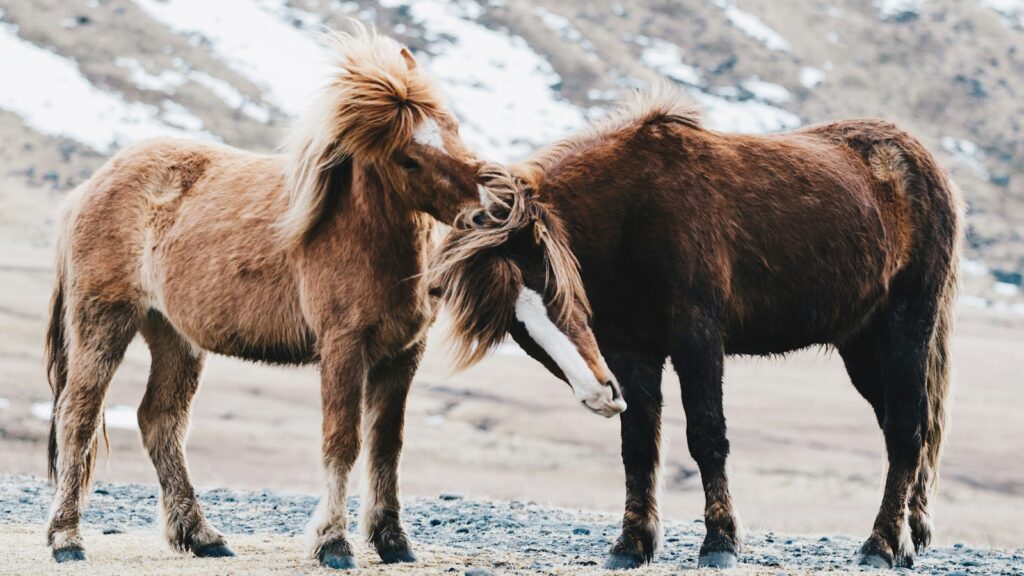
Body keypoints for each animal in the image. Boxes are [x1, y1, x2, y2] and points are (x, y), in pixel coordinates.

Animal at [44, 25, 502, 569]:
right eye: (408, 158)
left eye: (452, 127)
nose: (492, 207)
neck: (359, 231)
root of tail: (87, 189)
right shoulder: (344, 347)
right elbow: (342, 442)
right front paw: (333, 543)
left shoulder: (403, 353)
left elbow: (387, 445)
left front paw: (393, 541)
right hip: (104, 322)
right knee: (78, 417)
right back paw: (67, 540)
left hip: (173, 335)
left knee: (160, 421)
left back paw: (202, 536)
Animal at [430, 83, 962, 570]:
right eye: (515, 326)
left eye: (552, 285)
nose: (599, 395)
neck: (631, 211)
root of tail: (923, 164)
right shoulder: (630, 351)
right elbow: (638, 445)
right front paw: (632, 545)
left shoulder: (697, 337)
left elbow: (706, 436)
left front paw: (720, 542)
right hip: (861, 347)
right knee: (905, 428)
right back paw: (908, 539)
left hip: (905, 327)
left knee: (907, 429)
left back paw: (881, 545)